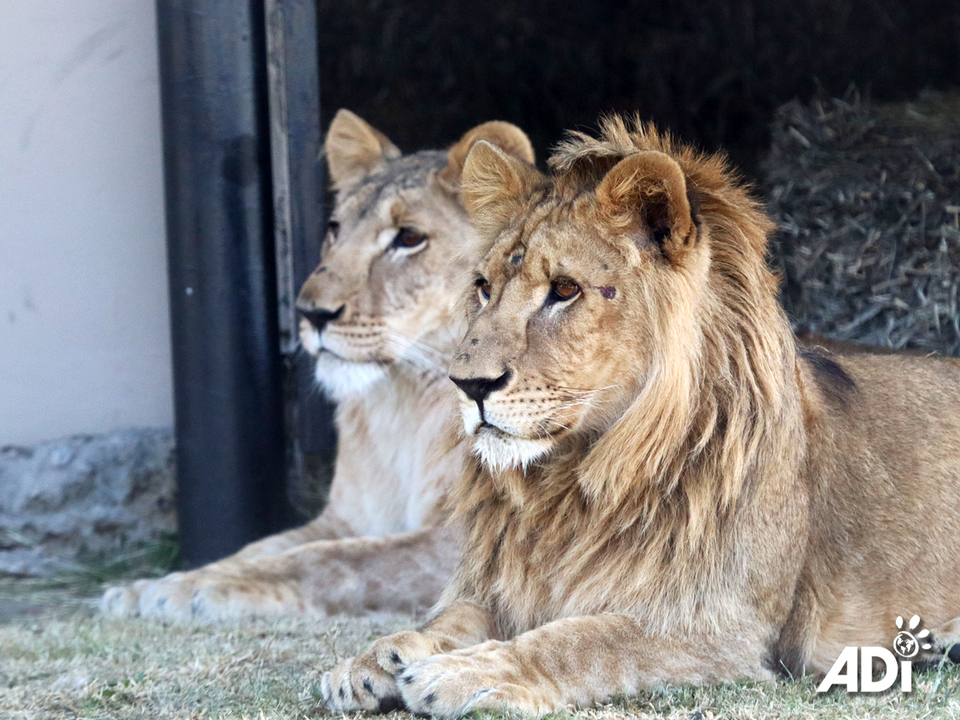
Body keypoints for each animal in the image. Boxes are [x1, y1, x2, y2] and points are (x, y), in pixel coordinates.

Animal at [102, 109, 536, 620]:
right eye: (334, 229)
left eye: (409, 238)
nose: (310, 313)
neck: (402, 407)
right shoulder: (344, 518)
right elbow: (263, 547)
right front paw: (152, 585)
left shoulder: (471, 538)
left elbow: (333, 561)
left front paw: (192, 589)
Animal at [322, 116, 960, 716]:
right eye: (483, 288)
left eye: (564, 290)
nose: (468, 384)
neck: (567, 488)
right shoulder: (506, 588)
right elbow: (448, 619)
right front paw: (377, 659)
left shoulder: (720, 626)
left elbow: (582, 641)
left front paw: (468, 672)